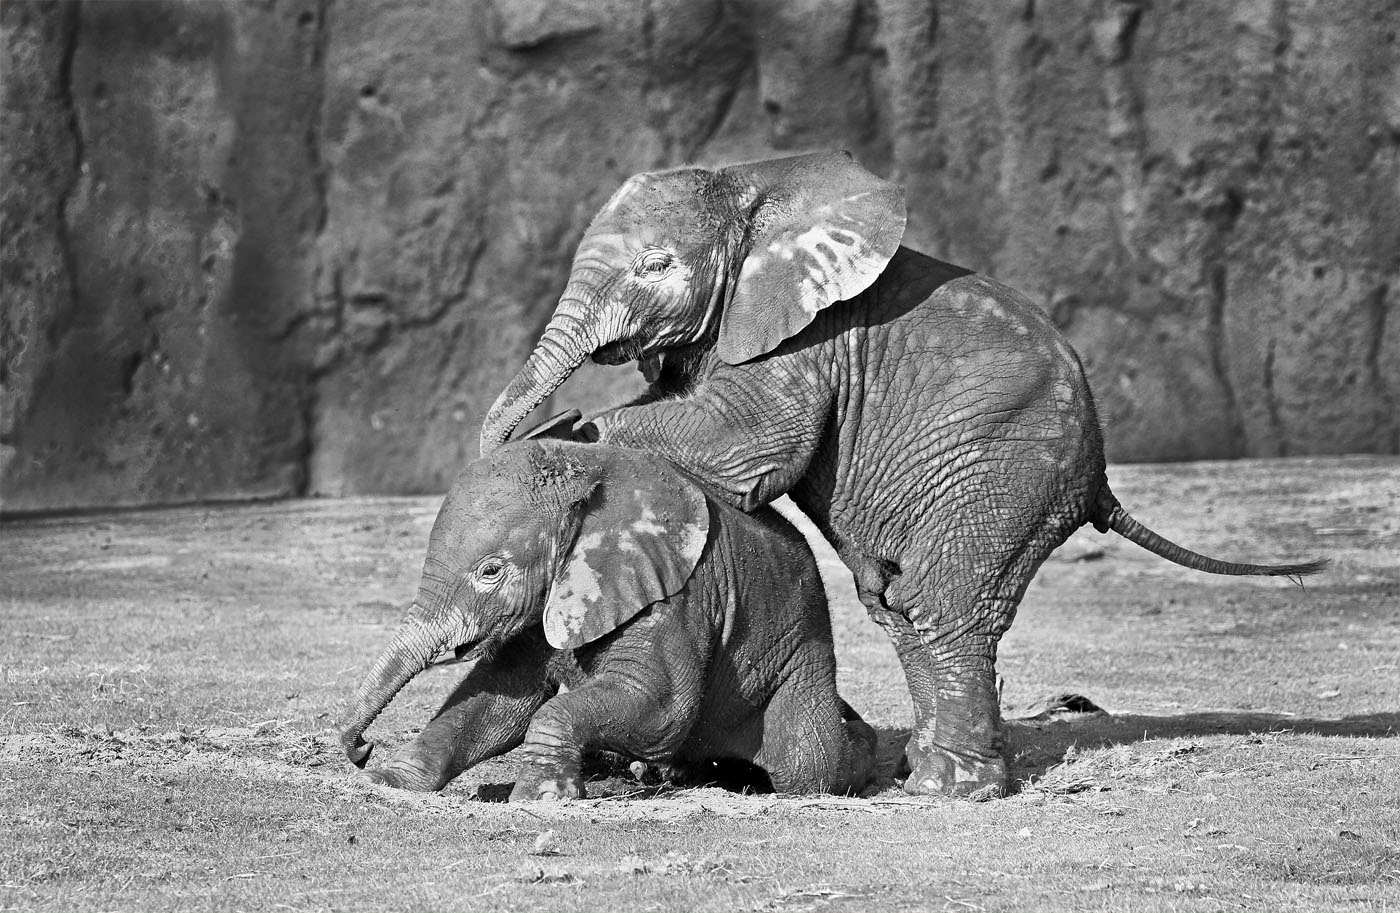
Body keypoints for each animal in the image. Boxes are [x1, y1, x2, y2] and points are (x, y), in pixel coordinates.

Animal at [338, 434, 873, 800]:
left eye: (490, 571)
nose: (362, 749)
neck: (589, 470)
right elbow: (498, 697)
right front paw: (388, 782)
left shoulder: (675, 593)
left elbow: (660, 706)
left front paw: (539, 797)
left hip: (800, 655)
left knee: (808, 764)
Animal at [478, 151, 1321, 800]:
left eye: (656, 265)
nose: (534, 417)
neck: (756, 184)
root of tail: (1101, 474)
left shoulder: (805, 339)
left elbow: (748, 445)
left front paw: (563, 435)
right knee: (895, 604)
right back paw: (922, 772)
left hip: (1012, 467)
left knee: (943, 602)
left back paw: (949, 791)